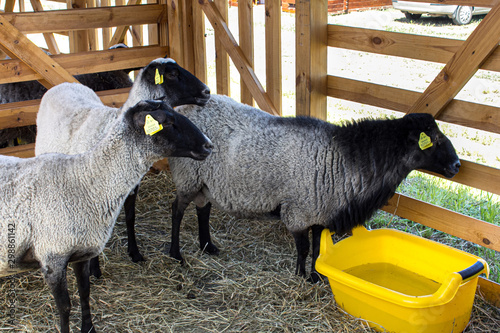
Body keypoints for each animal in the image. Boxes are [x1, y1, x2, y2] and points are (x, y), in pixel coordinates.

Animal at [0, 81, 213, 330]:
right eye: (167, 122)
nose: (209, 145)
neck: (84, 182)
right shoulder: (52, 258)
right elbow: (65, 307)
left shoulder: (81, 252)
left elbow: (85, 292)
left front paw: (89, 328)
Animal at [35, 57, 211, 274]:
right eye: (171, 74)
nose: (207, 91)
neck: (113, 126)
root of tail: (63, 84)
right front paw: (95, 269)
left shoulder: (132, 186)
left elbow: (130, 216)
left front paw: (135, 253)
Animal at [165, 93, 460, 280]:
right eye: (433, 139)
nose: (457, 165)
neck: (340, 159)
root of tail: (184, 110)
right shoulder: (298, 211)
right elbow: (304, 248)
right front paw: (300, 275)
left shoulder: (321, 213)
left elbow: (318, 249)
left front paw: (317, 276)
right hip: (187, 175)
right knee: (177, 210)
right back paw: (176, 254)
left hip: (204, 181)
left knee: (203, 209)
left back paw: (207, 246)